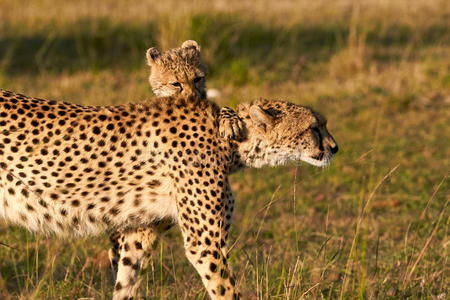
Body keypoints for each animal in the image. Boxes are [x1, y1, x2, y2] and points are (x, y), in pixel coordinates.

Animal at [0, 90, 338, 298]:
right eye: (313, 127)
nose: (335, 148)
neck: (231, 142)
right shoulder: (205, 244)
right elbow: (225, 289)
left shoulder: (139, 232)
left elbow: (125, 282)